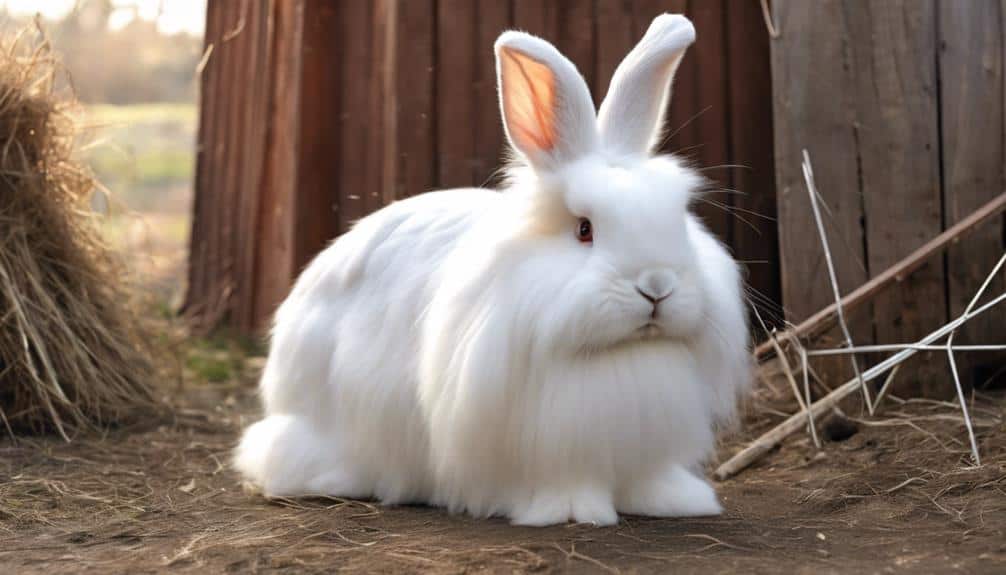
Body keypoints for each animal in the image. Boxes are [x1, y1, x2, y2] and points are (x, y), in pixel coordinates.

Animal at [235, 13, 751, 526]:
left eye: (677, 216)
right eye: (584, 229)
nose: (657, 286)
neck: (617, 356)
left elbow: (646, 480)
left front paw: (672, 500)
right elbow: (562, 482)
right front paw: (571, 511)